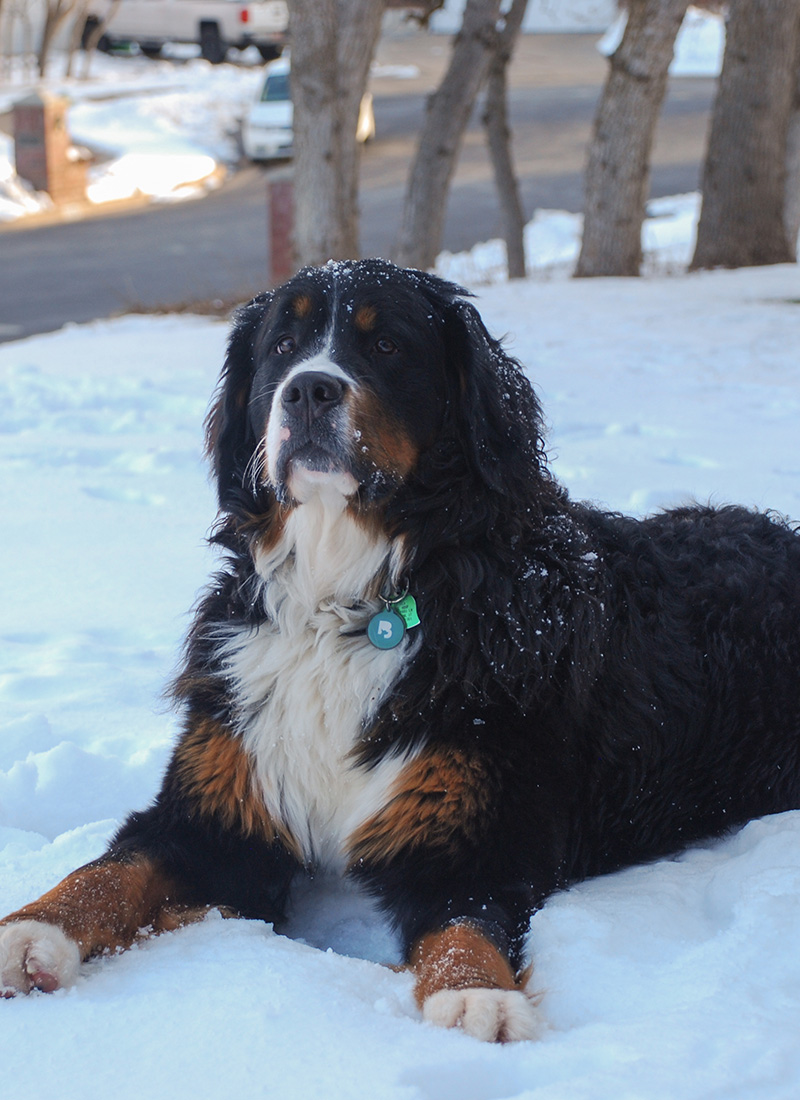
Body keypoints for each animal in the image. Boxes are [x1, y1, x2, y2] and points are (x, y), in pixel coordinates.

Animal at [1, 259, 800, 1038]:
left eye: (386, 345)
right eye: (282, 347)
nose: (309, 389)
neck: (346, 603)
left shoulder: (472, 834)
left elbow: (463, 928)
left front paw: (476, 999)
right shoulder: (215, 804)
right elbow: (111, 870)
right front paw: (29, 933)